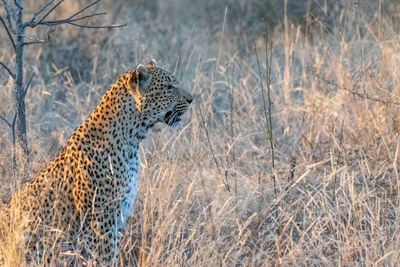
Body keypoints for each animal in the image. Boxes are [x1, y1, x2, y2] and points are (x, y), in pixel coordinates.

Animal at [0, 60, 192, 266]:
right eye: (168, 87)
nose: (192, 99)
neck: (133, 139)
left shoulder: (118, 217)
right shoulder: (102, 220)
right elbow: (105, 257)